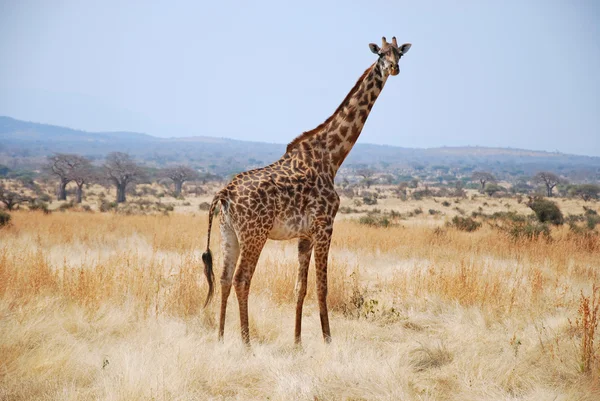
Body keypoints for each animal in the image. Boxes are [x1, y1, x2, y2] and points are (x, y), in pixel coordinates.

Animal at [203, 36, 412, 346]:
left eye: (399, 54)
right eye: (381, 54)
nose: (394, 68)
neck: (331, 157)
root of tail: (224, 193)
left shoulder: (305, 234)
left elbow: (300, 287)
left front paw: (298, 341)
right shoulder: (325, 226)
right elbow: (322, 286)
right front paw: (327, 340)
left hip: (228, 233)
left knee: (225, 278)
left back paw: (219, 338)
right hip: (255, 234)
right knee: (242, 279)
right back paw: (246, 344)